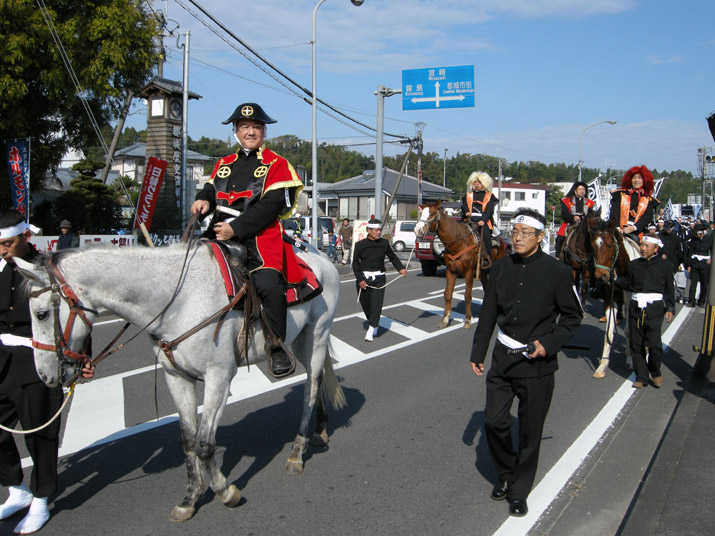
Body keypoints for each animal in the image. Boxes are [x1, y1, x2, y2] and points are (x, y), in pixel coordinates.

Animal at [16, 241, 346, 520]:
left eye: (41, 314)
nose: (45, 375)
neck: (178, 301)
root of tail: (319, 255)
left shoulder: (219, 376)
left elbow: (205, 443)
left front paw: (225, 491)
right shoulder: (176, 377)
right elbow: (188, 440)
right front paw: (191, 497)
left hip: (316, 335)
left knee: (310, 389)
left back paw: (297, 452)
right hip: (300, 339)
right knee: (317, 379)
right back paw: (320, 430)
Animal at [414, 200, 510, 328]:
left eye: (432, 214)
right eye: (421, 214)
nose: (417, 230)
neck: (458, 242)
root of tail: (501, 238)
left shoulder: (469, 272)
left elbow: (467, 296)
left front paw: (468, 320)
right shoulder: (451, 271)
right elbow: (448, 294)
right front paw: (445, 320)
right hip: (482, 271)